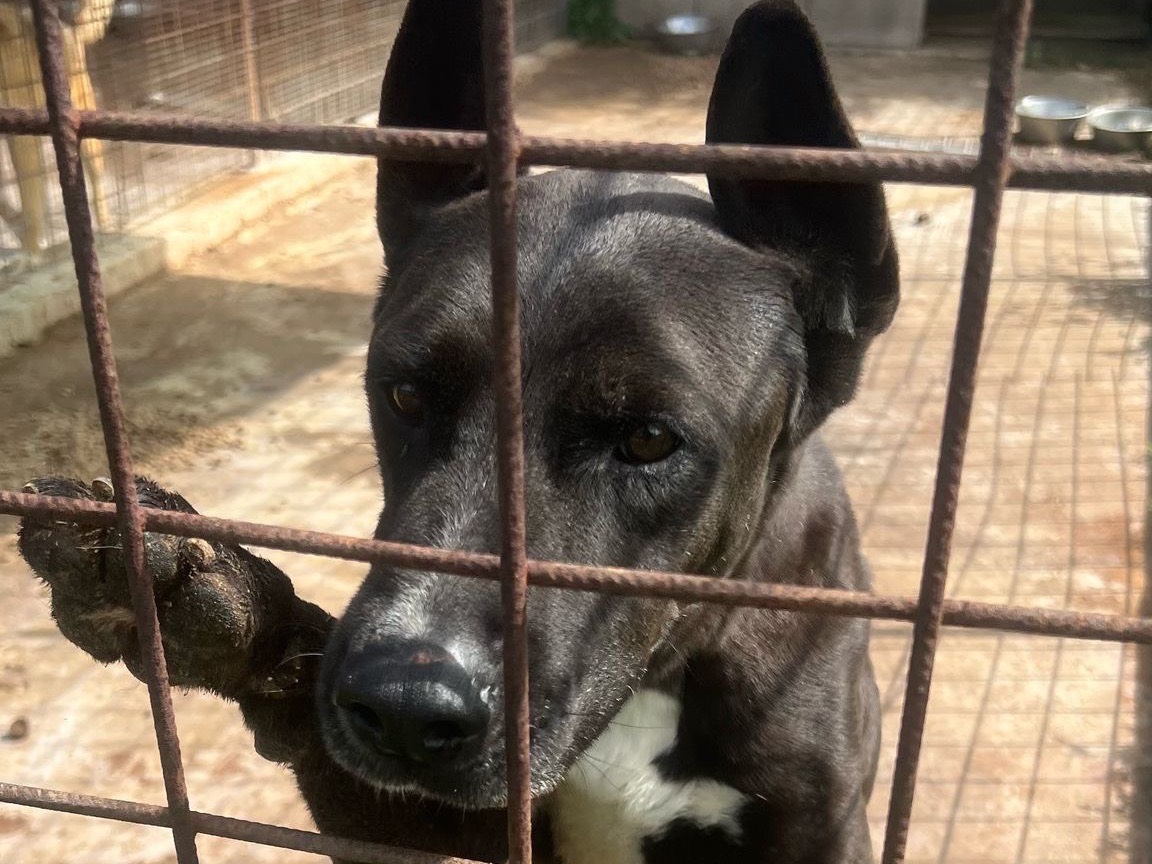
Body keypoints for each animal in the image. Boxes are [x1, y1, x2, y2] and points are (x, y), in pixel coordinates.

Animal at [18, 1, 899, 861]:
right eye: (405, 395)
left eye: (650, 439)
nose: (406, 706)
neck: (655, 690)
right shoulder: (403, 817)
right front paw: (196, 592)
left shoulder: (821, 821)